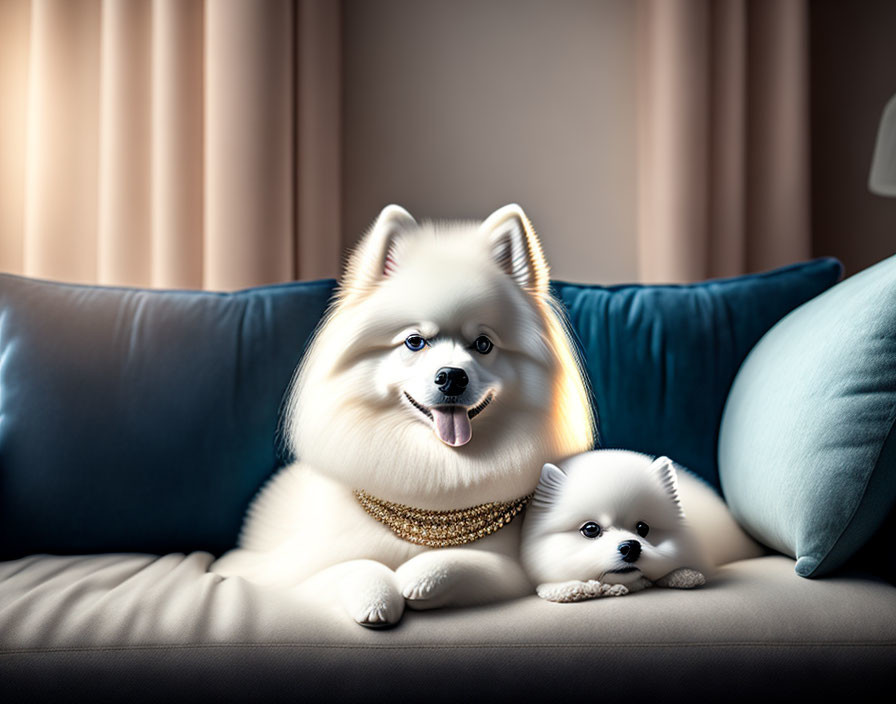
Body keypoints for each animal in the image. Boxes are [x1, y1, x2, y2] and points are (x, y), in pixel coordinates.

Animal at [213, 204, 600, 628]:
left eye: (483, 344)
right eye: (415, 342)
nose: (452, 376)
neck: (436, 467)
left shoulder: (512, 570)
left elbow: (470, 564)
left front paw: (422, 576)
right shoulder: (289, 572)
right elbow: (352, 566)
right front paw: (377, 595)